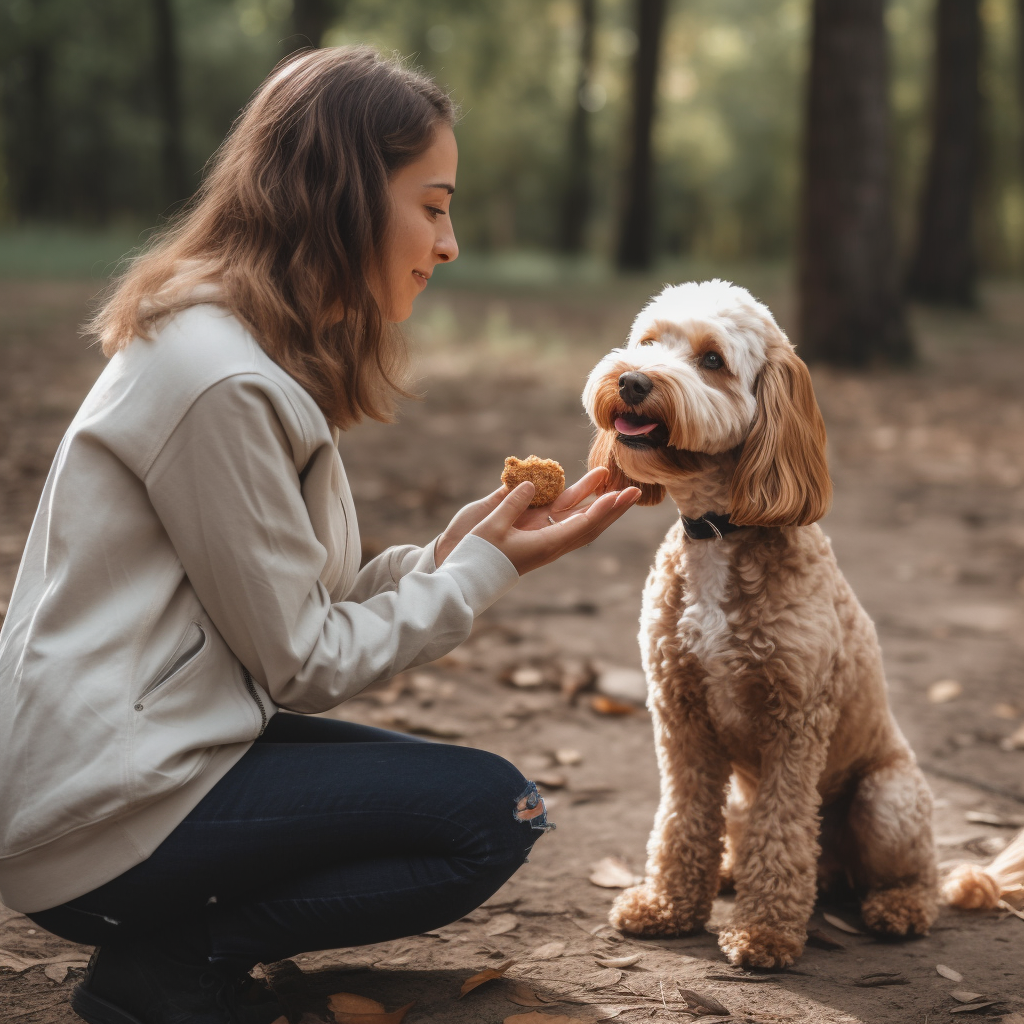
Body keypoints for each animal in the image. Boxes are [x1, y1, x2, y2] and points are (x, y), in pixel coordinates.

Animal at [585, 280, 937, 966]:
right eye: (648, 341)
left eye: (712, 360)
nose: (633, 380)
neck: (721, 531)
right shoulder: (680, 716)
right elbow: (683, 816)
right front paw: (667, 905)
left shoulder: (794, 725)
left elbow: (782, 833)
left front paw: (764, 932)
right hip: (743, 798)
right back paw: (726, 870)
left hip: (886, 800)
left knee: (913, 872)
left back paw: (898, 907)